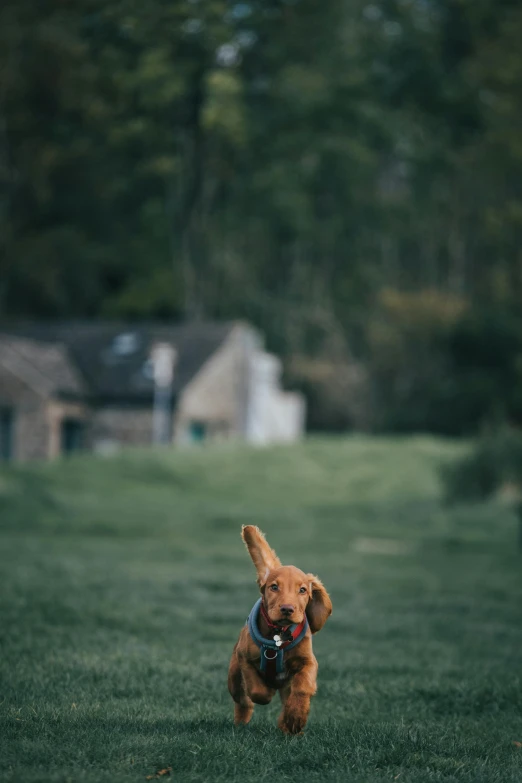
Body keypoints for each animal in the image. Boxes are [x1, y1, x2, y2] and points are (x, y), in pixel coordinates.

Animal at [226, 528, 332, 736]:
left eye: (302, 590)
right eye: (274, 587)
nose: (287, 609)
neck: (278, 634)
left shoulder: (308, 662)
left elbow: (302, 688)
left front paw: (295, 718)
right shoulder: (244, 658)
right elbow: (256, 689)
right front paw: (267, 692)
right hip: (233, 676)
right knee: (242, 700)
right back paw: (241, 721)